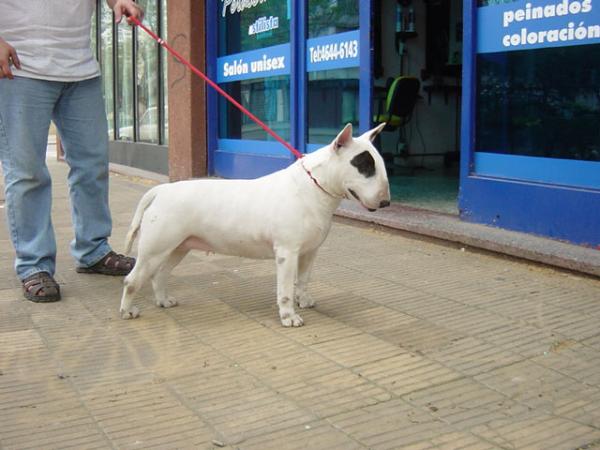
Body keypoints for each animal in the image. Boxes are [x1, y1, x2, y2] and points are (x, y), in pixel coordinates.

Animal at [120, 123, 392, 326]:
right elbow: (285, 289)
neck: (313, 186)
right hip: (155, 248)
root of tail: (161, 190)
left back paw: (164, 301)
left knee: (160, 274)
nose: (386, 202)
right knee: (133, 279)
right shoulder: (286, 253)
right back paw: (127, 311)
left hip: (180, 246)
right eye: (365, 166)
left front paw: (305, 300)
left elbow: (303, 280)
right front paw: (290, 317)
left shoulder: (310, 252)